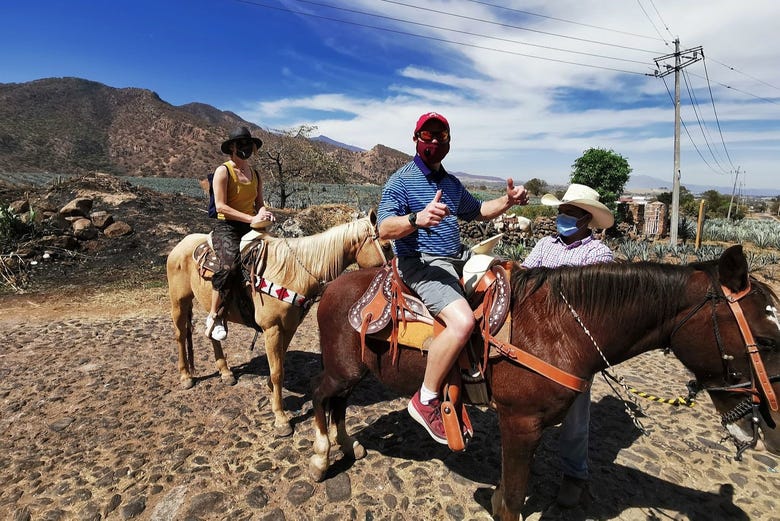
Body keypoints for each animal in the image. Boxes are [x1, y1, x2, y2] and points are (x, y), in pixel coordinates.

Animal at [166, 210, 388, 434]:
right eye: (386, 245)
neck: (293, 272)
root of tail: (180, 244)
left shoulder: (289, 328)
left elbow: (279, 363)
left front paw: (272, 392)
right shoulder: (272, 328)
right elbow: (277, 371)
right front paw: (281, 418)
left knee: (212, 333)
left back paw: (225, 372)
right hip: (179, 301)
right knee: (179, 335)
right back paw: (186, 376)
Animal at [310, 245, 780, 520]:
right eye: (768, 340)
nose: (769, 429)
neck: (562, 329)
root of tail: (335, 285)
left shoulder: (526, 430)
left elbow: (509, 495)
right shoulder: (520, 424)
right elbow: (514, 500)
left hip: (354, 373)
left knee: (338, 403)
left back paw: (348, 447)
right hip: (341, 369)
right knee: (321, 398)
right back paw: (319, 459)